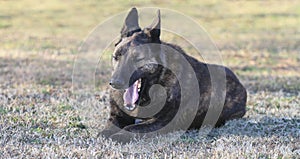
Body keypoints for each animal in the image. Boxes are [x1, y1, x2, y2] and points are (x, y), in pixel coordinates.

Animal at [99, 7, 247, 142]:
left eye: (138, 59)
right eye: (116, 57)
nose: (114, 83)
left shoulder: (160, 123)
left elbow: (132, 128)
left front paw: (119, 135)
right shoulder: (117, 116)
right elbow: (108, 127)